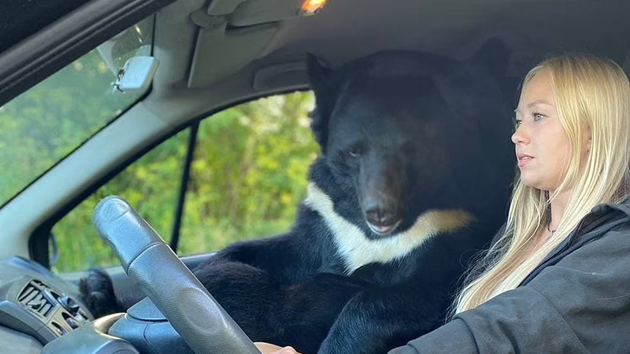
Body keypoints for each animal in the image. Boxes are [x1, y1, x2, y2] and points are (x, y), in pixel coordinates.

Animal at [82, 38, 520, 354]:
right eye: (353, 151)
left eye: (416, 151)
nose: (380, 214)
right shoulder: (328, 224)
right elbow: (267, 253)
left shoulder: (459, 230)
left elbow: (421, 292)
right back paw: (94, 290)